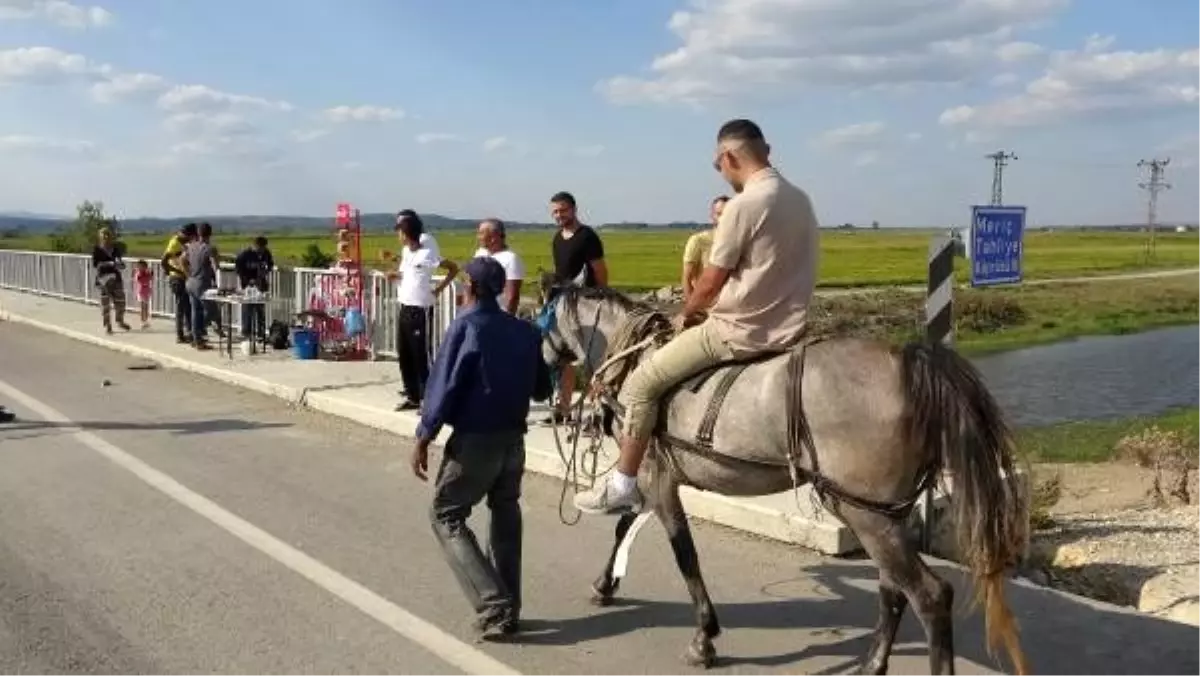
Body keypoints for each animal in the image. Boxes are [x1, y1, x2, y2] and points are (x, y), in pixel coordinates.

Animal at [537, 276, 1032, 676]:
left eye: (535, 318)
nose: (543, 376)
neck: (634, 356)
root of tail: (910, 366)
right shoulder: (657, 478)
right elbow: (624, 528)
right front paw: (604, 585)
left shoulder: (656, 478)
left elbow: (684, 555)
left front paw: (704, 637)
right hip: (878, 514)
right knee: (893, 589)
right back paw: (872, 664)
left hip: (868, 515)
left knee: (930, 595)